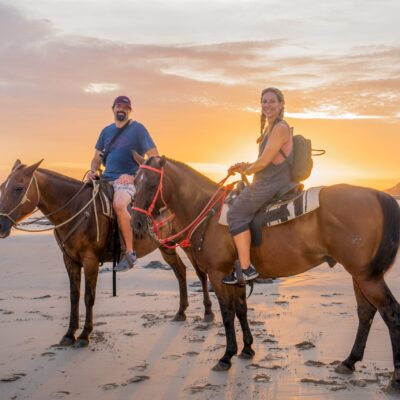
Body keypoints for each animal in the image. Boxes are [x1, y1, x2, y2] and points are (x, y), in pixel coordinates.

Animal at [0, 159, 216, 346]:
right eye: (3, 187)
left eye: (18, 188)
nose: (1, 225)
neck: (77, 210)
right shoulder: (69, 259)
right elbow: (74, 295)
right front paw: (69, 334)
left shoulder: (90, 260)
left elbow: (89, 296)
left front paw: (85, 335)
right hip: (166, 245)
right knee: (180, 271)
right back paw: (181, 312)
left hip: (188, 243)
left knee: (200, 273)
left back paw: (208, 312)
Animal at [131, 155, 400, 388]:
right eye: (134, 182)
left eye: (153, 184)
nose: (136, 223)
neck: (209, 214)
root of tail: (377, 194)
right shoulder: (235, 278)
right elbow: (241, 310)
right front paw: (247, 349)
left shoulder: (218, 275)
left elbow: (227, 314)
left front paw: (227, 356)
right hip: (360, 274)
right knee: (366, 313)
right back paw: (350, 361)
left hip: (367, 277)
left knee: (391, 313)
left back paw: (395, 378)